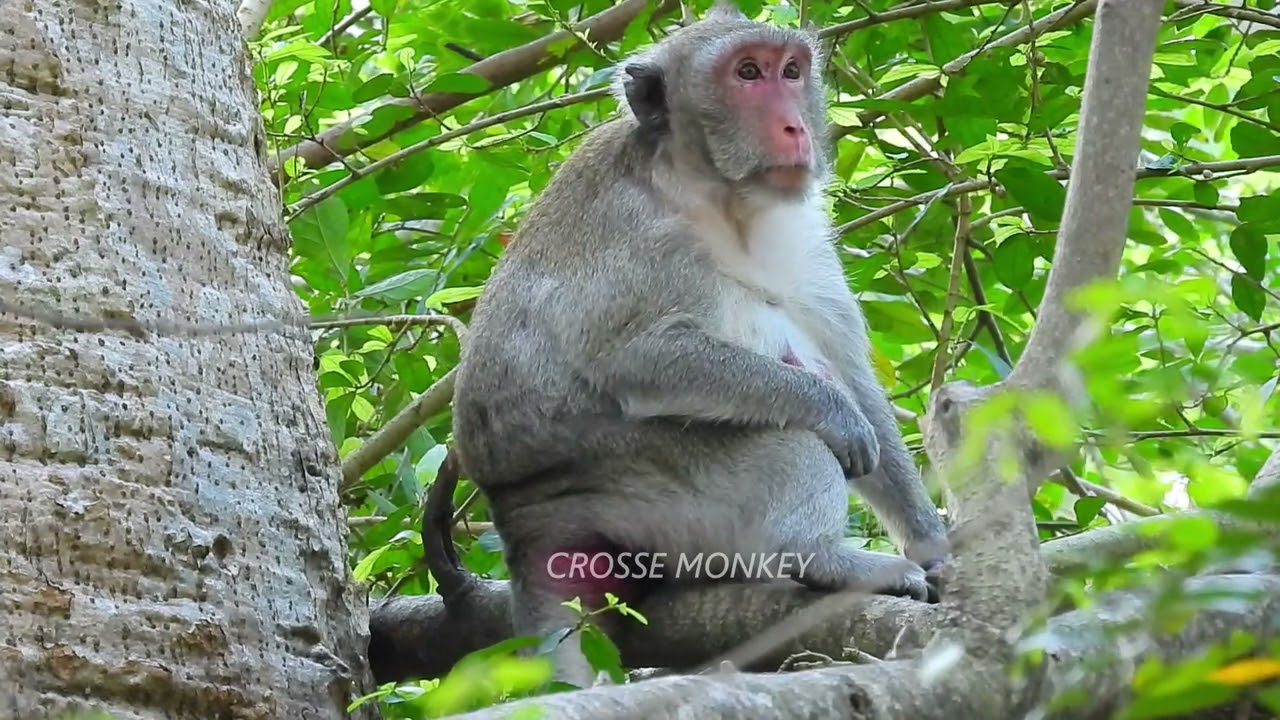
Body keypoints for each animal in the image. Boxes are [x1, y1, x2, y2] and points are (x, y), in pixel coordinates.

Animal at [448, 3, 950, 688]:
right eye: (746, 74)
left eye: (791, 71)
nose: (795, 126)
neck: (719, 193)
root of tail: (524, 527)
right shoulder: (641, 233)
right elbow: (638, 359)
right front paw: (835, 414)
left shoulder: (803, 229)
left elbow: (851, 373)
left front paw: (937, 548)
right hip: (634, 488)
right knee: (786, 440)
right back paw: (821, 557)